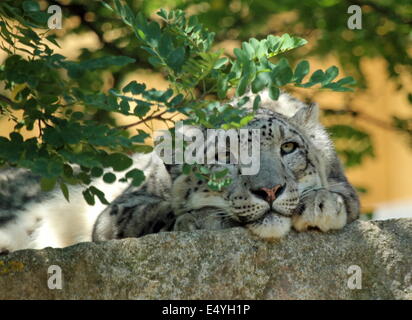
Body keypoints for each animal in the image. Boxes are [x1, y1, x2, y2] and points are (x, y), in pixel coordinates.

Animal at [0, 90, 358, 252]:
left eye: (288, 147)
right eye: (225, 156)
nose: (269, 190)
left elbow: (345, 196)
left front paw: (321, 203)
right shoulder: (115, 213)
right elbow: (154, 213)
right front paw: (200, 218)